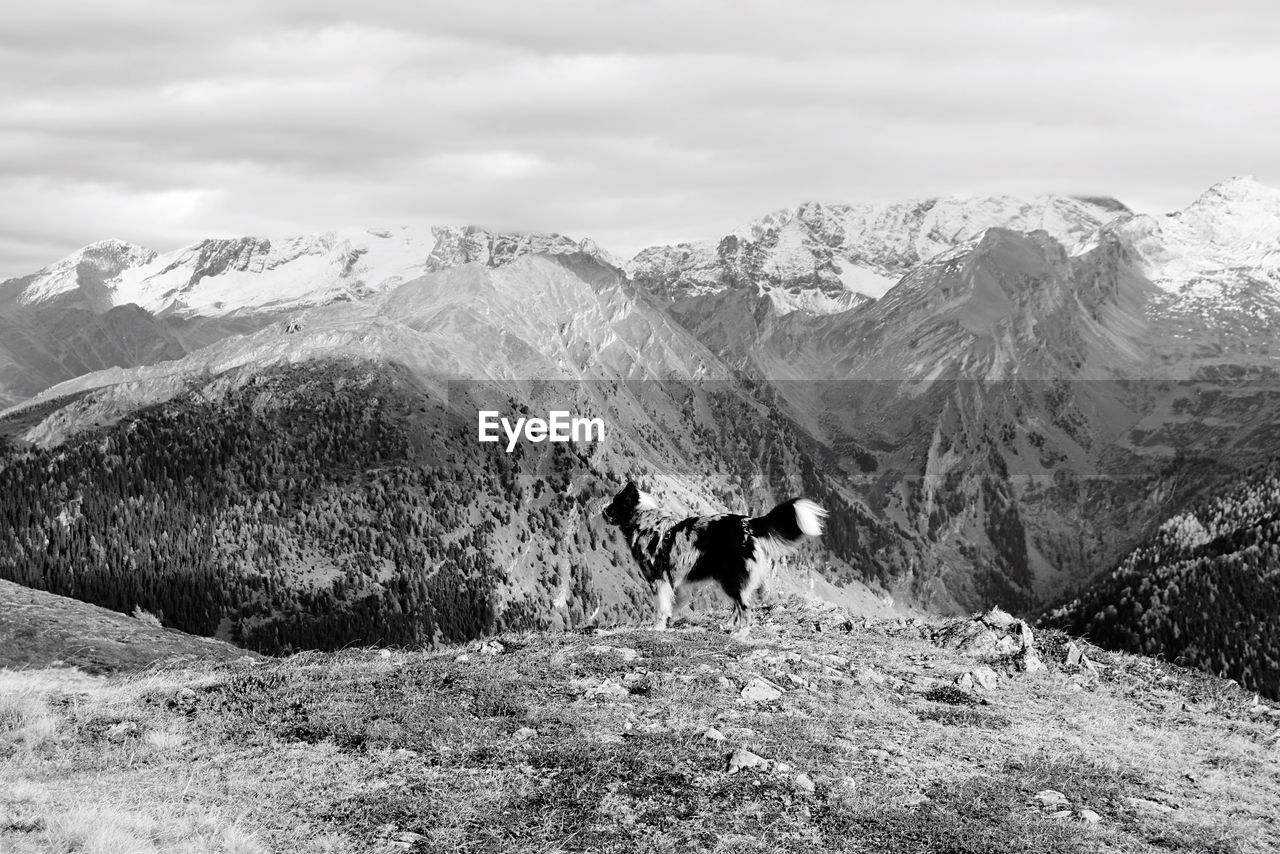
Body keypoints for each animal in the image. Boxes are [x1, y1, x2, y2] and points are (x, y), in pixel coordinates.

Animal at [601, 483, 829, 632]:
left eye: (615, 503)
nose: (602, 510)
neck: (644, 521)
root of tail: (748, 523)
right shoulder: (679, 584)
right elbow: (674, 605)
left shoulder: (659, 580)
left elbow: (661, 608)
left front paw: (656, 628)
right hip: (727, 580)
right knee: (738, 606)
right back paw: (728, 625)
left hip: (731, 579)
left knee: (745, 608)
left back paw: (740, 633)